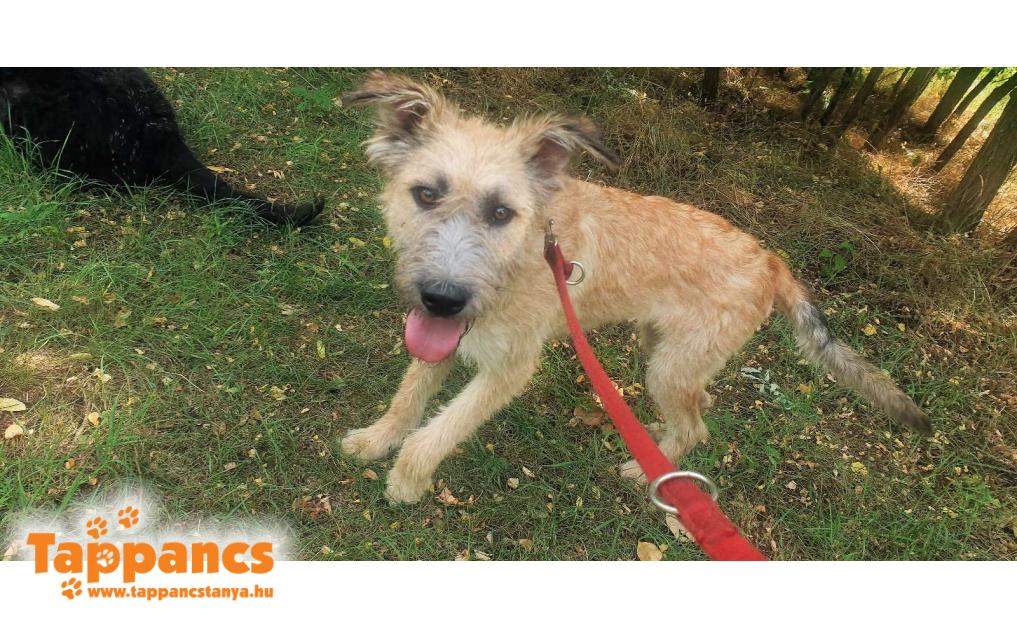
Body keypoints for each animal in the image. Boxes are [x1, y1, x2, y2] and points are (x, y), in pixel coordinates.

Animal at [341, 71, 930, 504]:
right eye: (425, 194)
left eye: (502, 213)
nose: (442, 297)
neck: (530, 255)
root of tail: (770, 261)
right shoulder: (442, 337)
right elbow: (409, 396)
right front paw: (376, 439)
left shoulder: (509, 368)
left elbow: (437, 432)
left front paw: (407, 481)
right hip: (666, 351)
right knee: (699, 406)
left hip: (669, 366)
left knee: (695, 428)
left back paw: (649, 471)